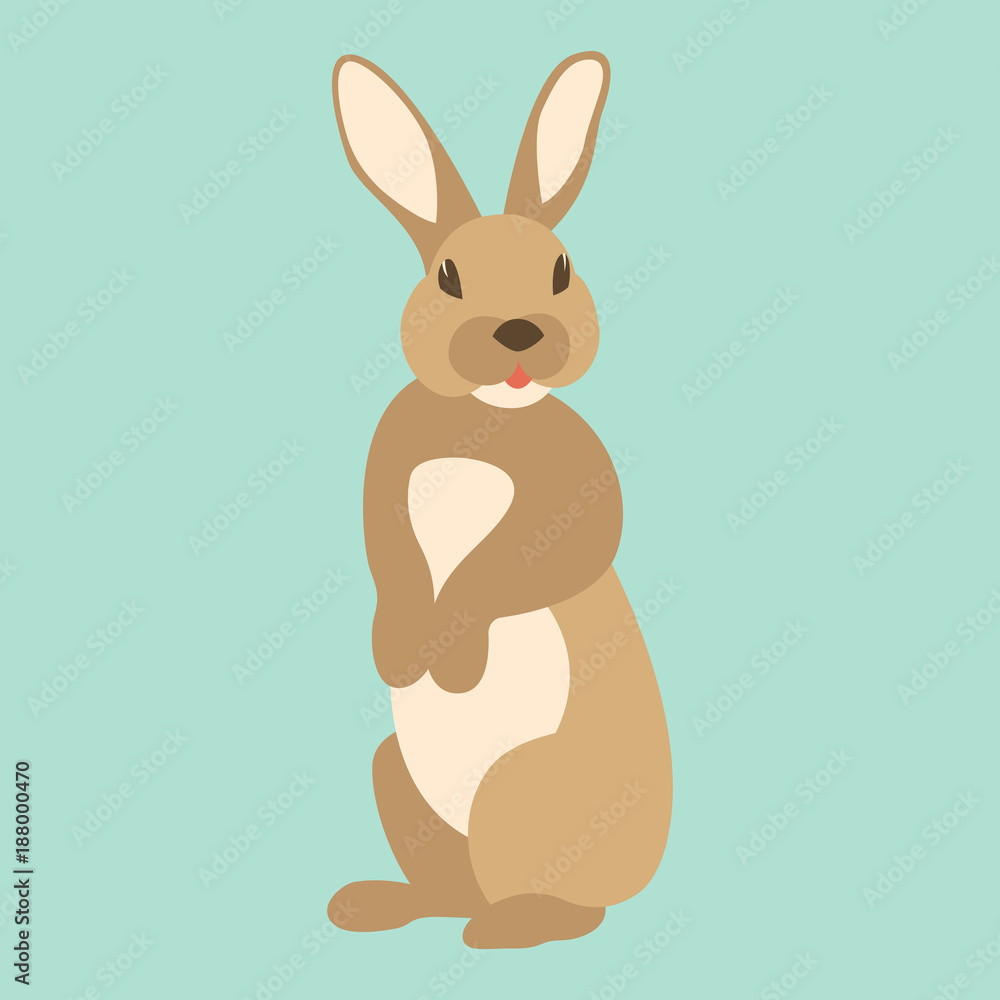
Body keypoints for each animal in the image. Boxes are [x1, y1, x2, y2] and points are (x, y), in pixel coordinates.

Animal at [326, 51, 672, 950]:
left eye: (562, 269)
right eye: (446, 276)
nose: (519, 334)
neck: (485, 419)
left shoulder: (572, 499)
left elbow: (518, 565)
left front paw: (456, 661)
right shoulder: (386, 485)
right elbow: (392, 559)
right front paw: (400, 655)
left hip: (520, 793)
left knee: (568, 908)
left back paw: (511, 927)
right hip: (395, 774)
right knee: (452, 886)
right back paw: (378, 905)